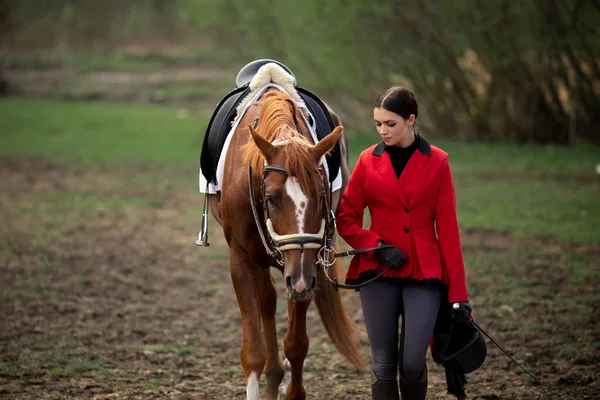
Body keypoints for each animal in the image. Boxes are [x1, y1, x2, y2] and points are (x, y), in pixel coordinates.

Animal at [206, 89, 366, 398]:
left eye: (321, 196)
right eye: (271, 199)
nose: (300, 279)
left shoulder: (304, 269)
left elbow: (296, 344)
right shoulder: (242, 260)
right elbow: (252, 353)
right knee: (266, 302)